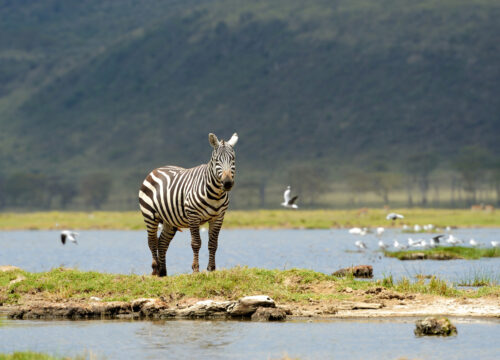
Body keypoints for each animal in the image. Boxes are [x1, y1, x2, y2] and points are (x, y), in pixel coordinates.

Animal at [138, 132, 237, 276]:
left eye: (233, 159)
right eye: (216, 160)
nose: (228, 183)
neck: (215, 194)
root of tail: (156, 169)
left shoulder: (218, 217)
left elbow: (213, 244)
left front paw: (211, 269)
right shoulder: (193, 215)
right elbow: (196, 243)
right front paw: (195, 269)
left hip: (169, 221)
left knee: (162, 242)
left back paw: (163, 272)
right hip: (150, 215)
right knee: (152, 241)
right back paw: (155, 269)